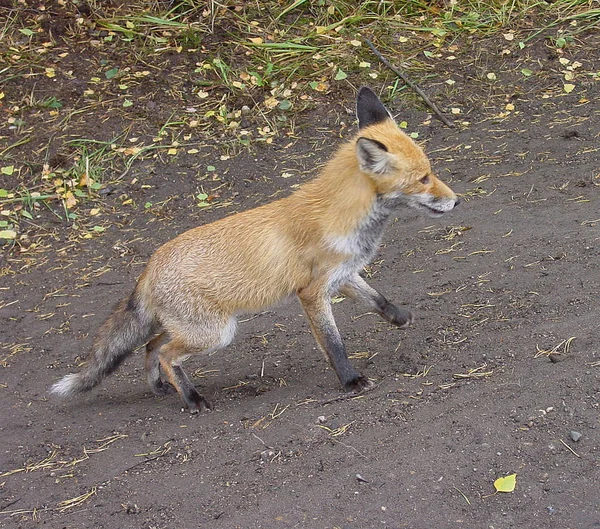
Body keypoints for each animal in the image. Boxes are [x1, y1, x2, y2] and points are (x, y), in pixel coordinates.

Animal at [51, 87, 460, 412]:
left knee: (151, 347)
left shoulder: (342, 274)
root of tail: (149, 266)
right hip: (216, 333)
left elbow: (377, 298)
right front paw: (351, 381)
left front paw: (399, 317)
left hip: (196, 330)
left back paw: (161, 387)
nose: (457, 201)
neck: (342, 215)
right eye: (424, 178)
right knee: (165, 354)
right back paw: (193, 399)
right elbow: (334, 345)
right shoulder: (312, 293)